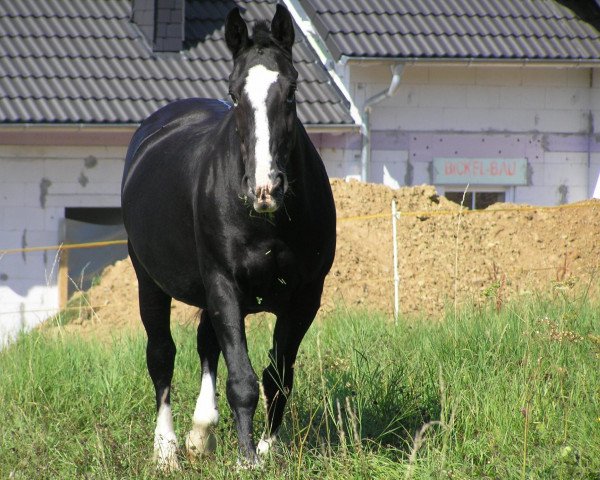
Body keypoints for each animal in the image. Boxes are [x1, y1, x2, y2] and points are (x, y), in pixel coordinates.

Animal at [120, 5, 338, 470]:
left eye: (291, 91)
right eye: (235, 94)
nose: (265, 188)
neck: (268, 222)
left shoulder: (306, 295)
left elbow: (278, 376)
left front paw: (267, 450)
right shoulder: (223, 283)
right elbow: (242, 379)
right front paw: (246, 459)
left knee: (206, 343)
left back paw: (201, 434)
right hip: (150, 281)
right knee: (161, 356)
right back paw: (165, 450)